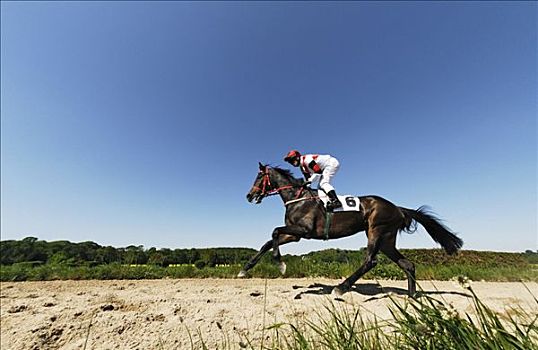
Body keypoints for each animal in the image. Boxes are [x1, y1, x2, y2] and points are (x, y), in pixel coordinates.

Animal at [240, 163, 460, 296]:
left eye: (259, 177)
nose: (249, 196)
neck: (297, 198)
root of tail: (398, 208)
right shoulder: (296, 235)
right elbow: (268, 241)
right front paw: (245, 268)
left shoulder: (303, 230)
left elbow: (274, 232)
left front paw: (281, 265)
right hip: (387, 239)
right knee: (407, 264)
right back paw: (412, 296)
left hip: (376, 230)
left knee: (370, 261)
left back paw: (341, 288)